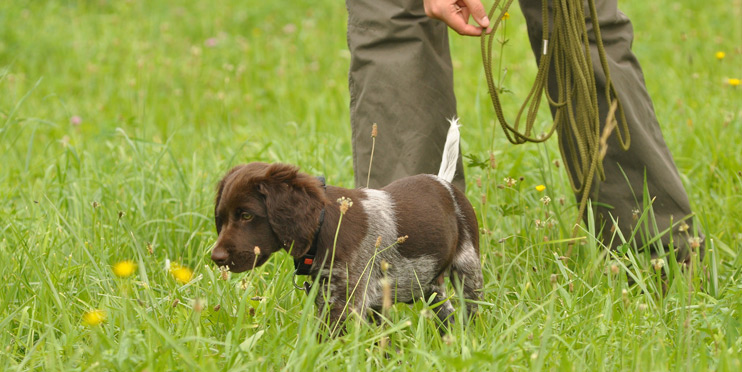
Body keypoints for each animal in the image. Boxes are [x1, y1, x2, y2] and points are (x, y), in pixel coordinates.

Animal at [212, 119, 486, 328]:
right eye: (221, 218)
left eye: (247, 215)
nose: (215, 258)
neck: (323, 227)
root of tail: (444, 183)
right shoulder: (334, 297)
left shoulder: (346, 300)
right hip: (429, 284)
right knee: (448, 315)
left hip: (468, 269)